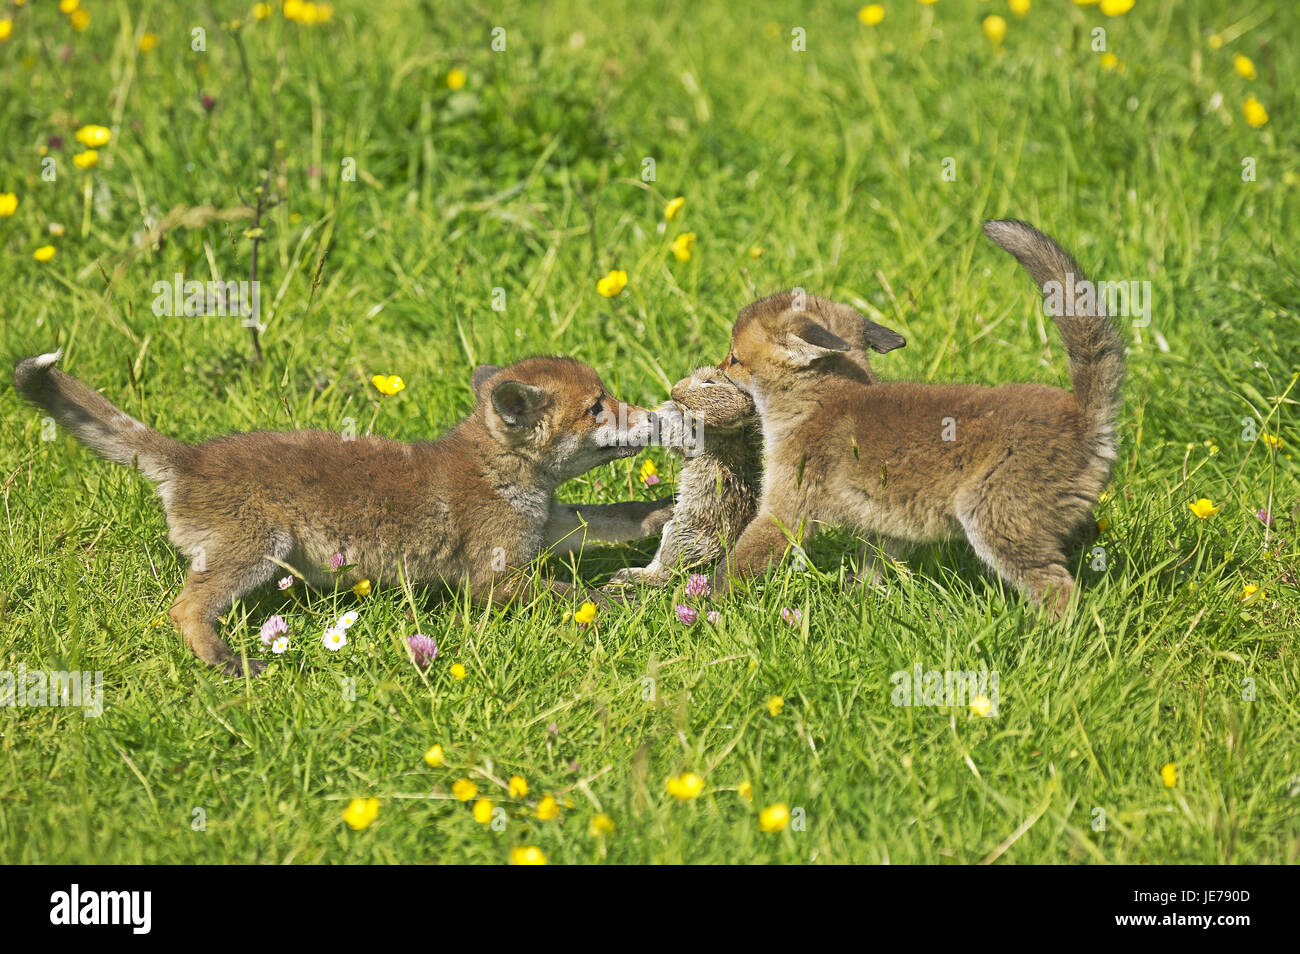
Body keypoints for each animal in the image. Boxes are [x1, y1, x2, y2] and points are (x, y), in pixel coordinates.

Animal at [14, 354, 672, 676]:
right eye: (596, 407)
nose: (661, 417)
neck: (502, 472)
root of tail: (187, 458)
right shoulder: (493, 578)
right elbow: (573, 594)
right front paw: (628, 604)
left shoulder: (549, 526)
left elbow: (612, 518)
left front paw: (662, 514)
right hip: (258, 550)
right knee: (184, 610)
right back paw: (227, 661)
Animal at [713, 219, 1125, 617]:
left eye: (733, 358)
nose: (713, 371)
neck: (817, 404)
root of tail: (1082, 414)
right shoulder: (886, 521)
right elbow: (870, 568)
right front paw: (857, 605)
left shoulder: (786, 510)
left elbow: (736, 566)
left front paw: (702, 604)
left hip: (994, 519)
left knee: (1059, 590)